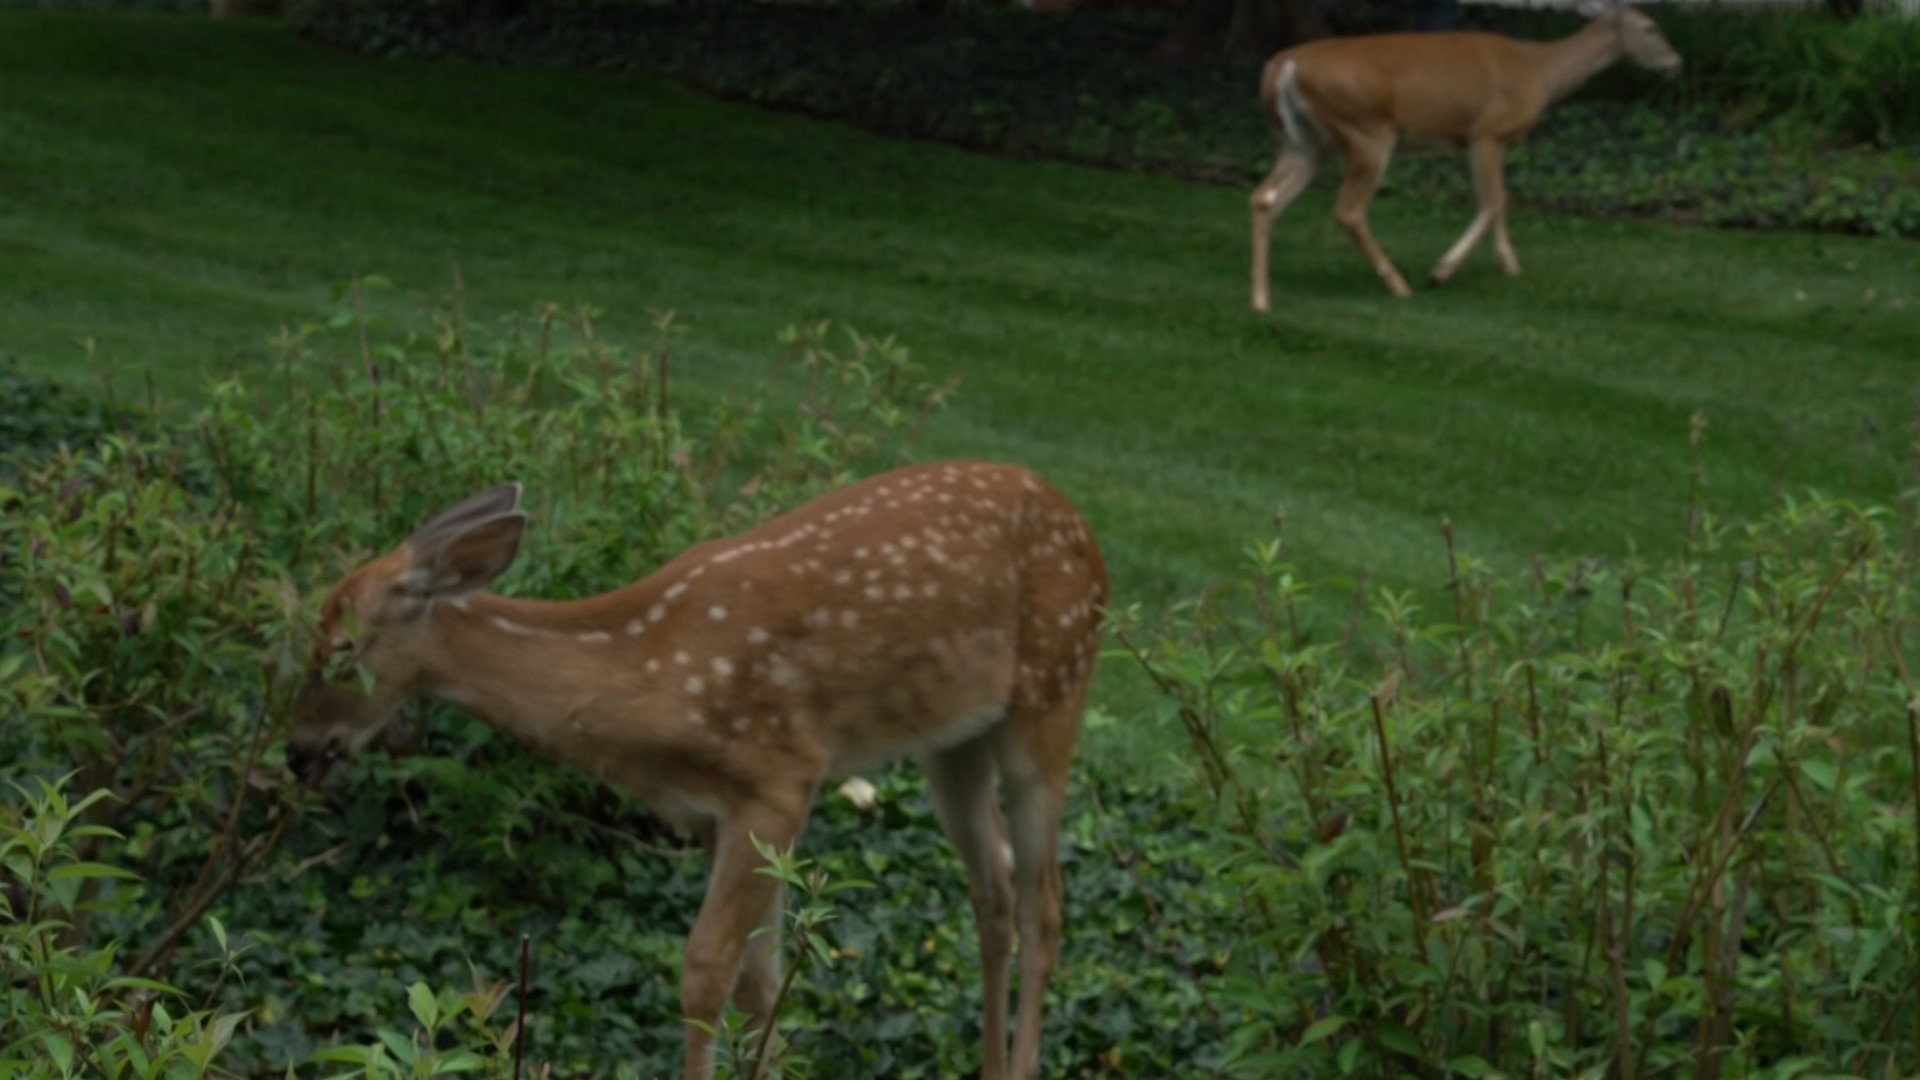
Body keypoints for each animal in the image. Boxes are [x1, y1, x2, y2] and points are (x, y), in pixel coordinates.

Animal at [284, 461, 1113, 1076]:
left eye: (340, 649)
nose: (296, 751)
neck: (650, 673)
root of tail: (1085, 529)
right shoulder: (723, 812)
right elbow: (761, 981)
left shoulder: (778, 777)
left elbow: (706, 972)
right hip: (953, 738)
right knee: (993, 887)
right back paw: (990, 1064)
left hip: (1054, 686)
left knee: (1045, 899)